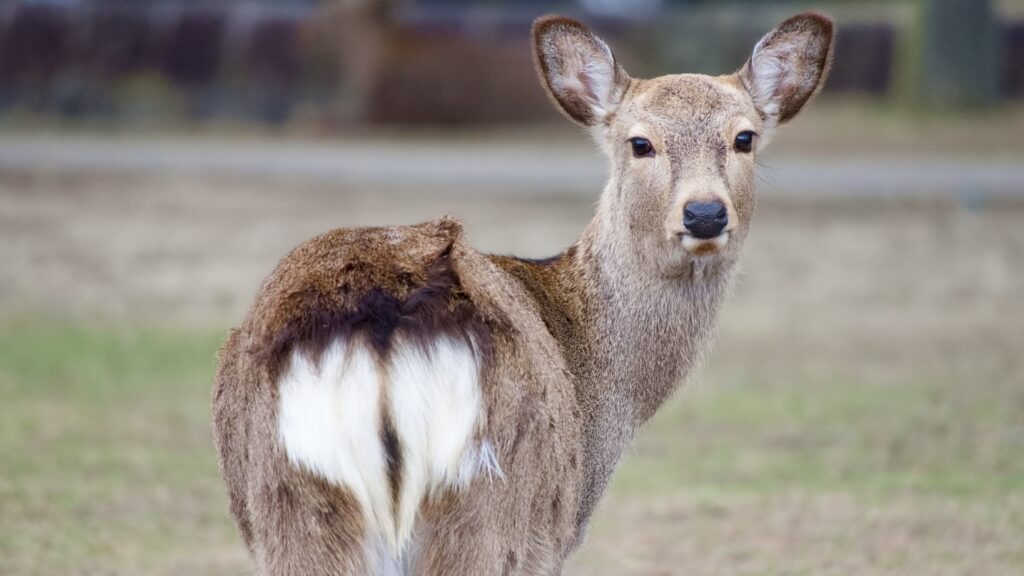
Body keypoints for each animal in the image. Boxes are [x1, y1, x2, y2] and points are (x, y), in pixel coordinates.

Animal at [213, 11, 834, 575]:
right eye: (640, 143)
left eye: (744, 138)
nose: (705, 213)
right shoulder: (552, 535)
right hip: (494, 502)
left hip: (290, 502)